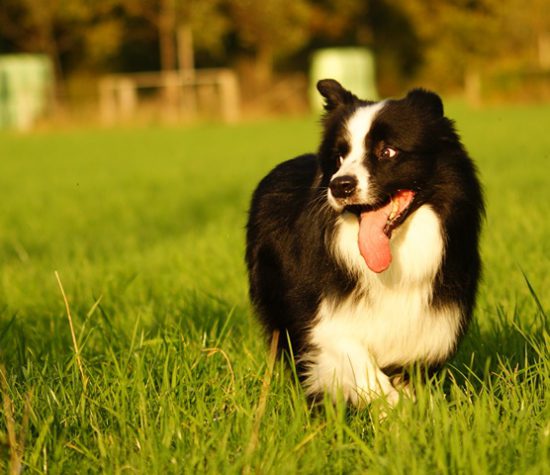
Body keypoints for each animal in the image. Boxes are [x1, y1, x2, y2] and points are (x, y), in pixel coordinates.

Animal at [246, 80, 484, 408]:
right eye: (338, 158)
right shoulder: (322, 320)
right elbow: (363, 367)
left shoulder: (428, 327)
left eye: (387, 151)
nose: (340, 186)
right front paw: (396, 412)